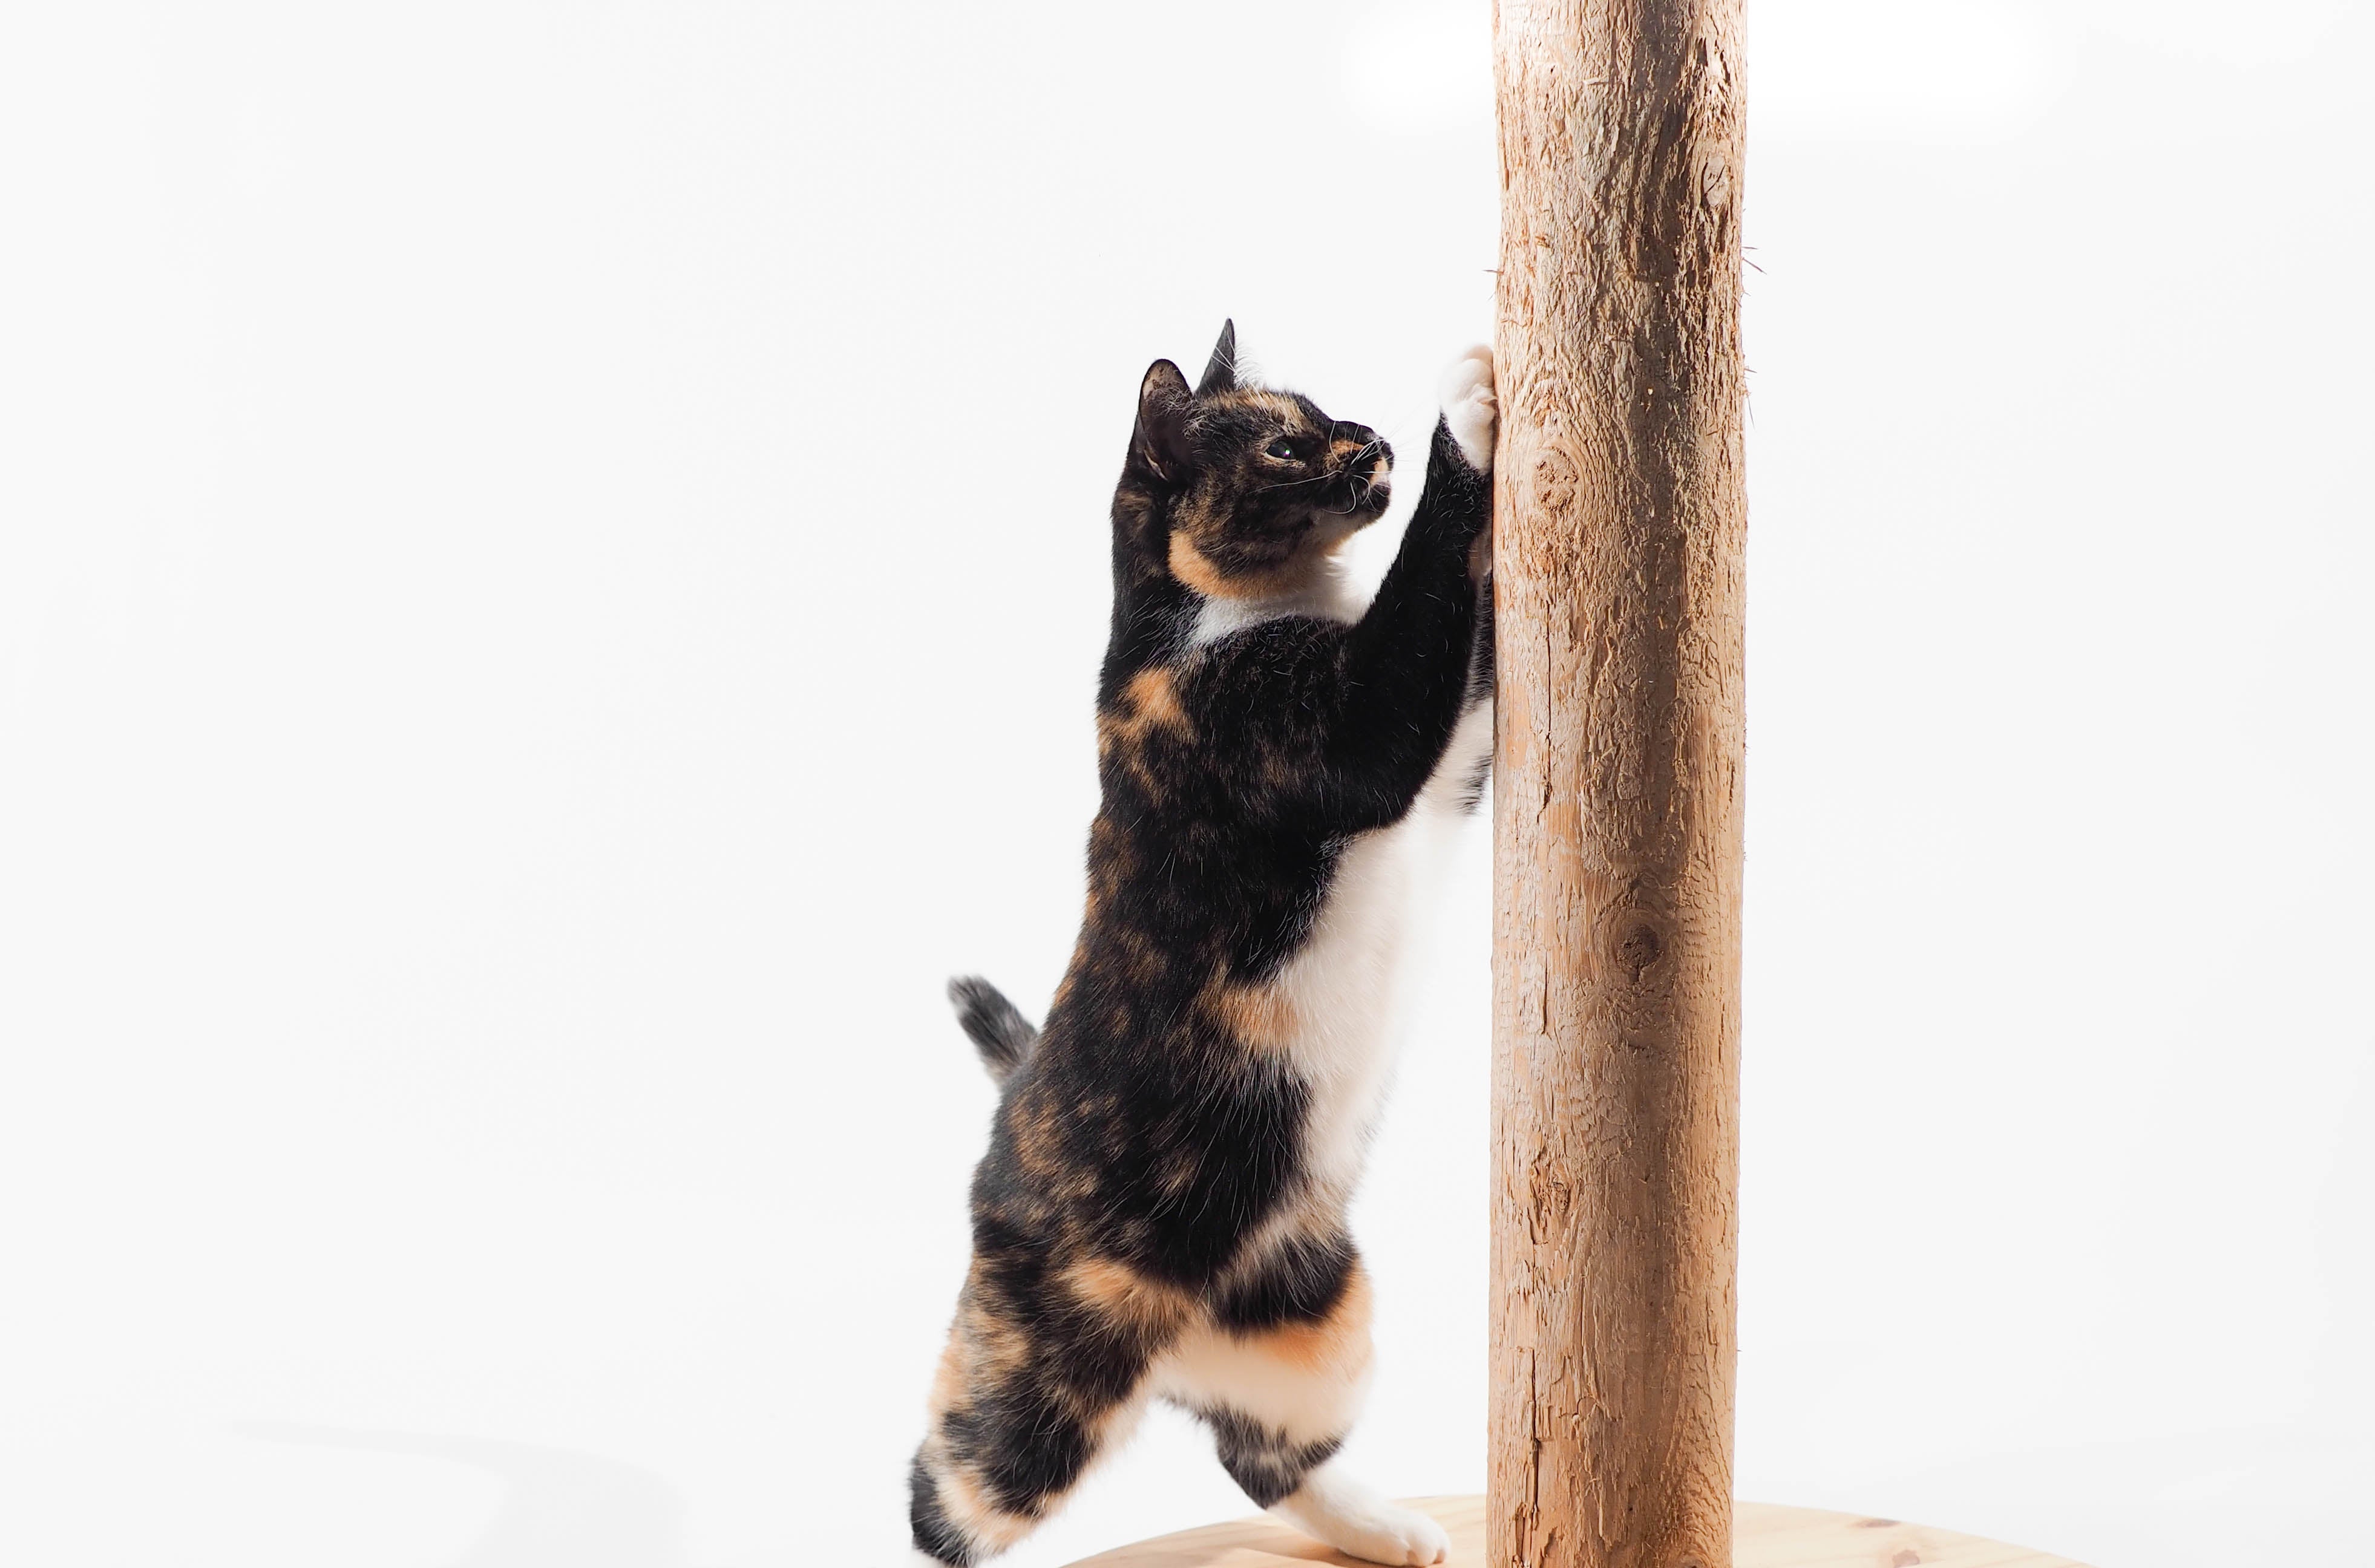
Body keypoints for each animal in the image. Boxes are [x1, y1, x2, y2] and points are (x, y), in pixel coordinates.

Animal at [912, 325, 1491, 1558]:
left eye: (1324, 410)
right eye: (1283, 445)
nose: (1370, 437)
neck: (1216, 617)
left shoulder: (1447, 767)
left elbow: (1471, 676)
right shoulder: (1331, 728)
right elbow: (1418, 613)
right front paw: (1469, 407)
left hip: (1314, 1303)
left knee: (1263, 1454)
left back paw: (1387, 1528)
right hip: (1036, 1382)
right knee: (944, 1499)